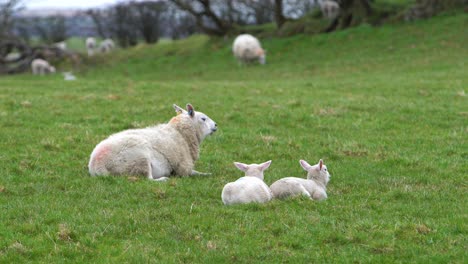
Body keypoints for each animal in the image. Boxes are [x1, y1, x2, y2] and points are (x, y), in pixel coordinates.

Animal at [88, 103, 218, 182]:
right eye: (203, 118)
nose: (216, 125)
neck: (181, 134)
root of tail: (96, 165)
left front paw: (207, 174)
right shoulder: (182, 167)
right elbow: (192, 172)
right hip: (139, 159)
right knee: (148, 179)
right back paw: (163, 179)